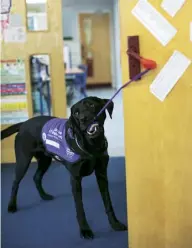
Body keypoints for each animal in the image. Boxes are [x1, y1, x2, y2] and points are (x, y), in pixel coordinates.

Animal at [1, 96, 127, 238]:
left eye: (91, 105)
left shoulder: (102, 175)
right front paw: (85, 230)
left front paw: (115, 224)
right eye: (76, 113)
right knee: (15, 183)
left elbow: (108, 203)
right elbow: (80, 208)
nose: (83, 119)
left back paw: (44, 196)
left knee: (36, 177)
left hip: (45, 160)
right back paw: (12, 206)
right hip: (23, 161)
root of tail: (24, 123)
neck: (92, 146)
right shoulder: (75, 179)